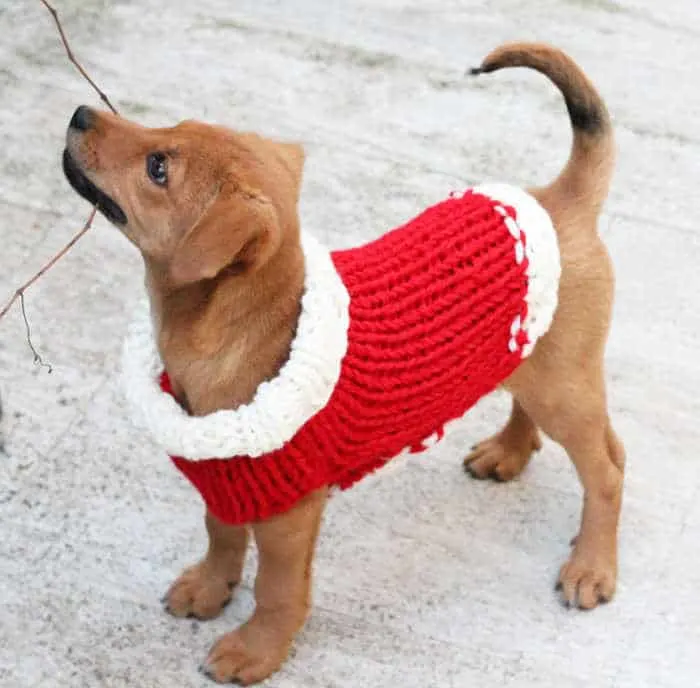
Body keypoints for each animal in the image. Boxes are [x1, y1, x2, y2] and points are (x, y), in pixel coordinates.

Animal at [64, 44, 624, 688]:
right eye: (166, 131)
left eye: (157, 168)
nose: (79, 112)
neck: (247, 333)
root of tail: (561, 201)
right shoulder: (226, 480)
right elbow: (221, 536)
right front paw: (209, 588)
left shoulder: (288, 517)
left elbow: (277, 590)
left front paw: (255, 650)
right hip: (532, 361)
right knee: (543, 414)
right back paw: (508, 452)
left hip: (564, 388)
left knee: (608, 469)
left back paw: (592, 565)